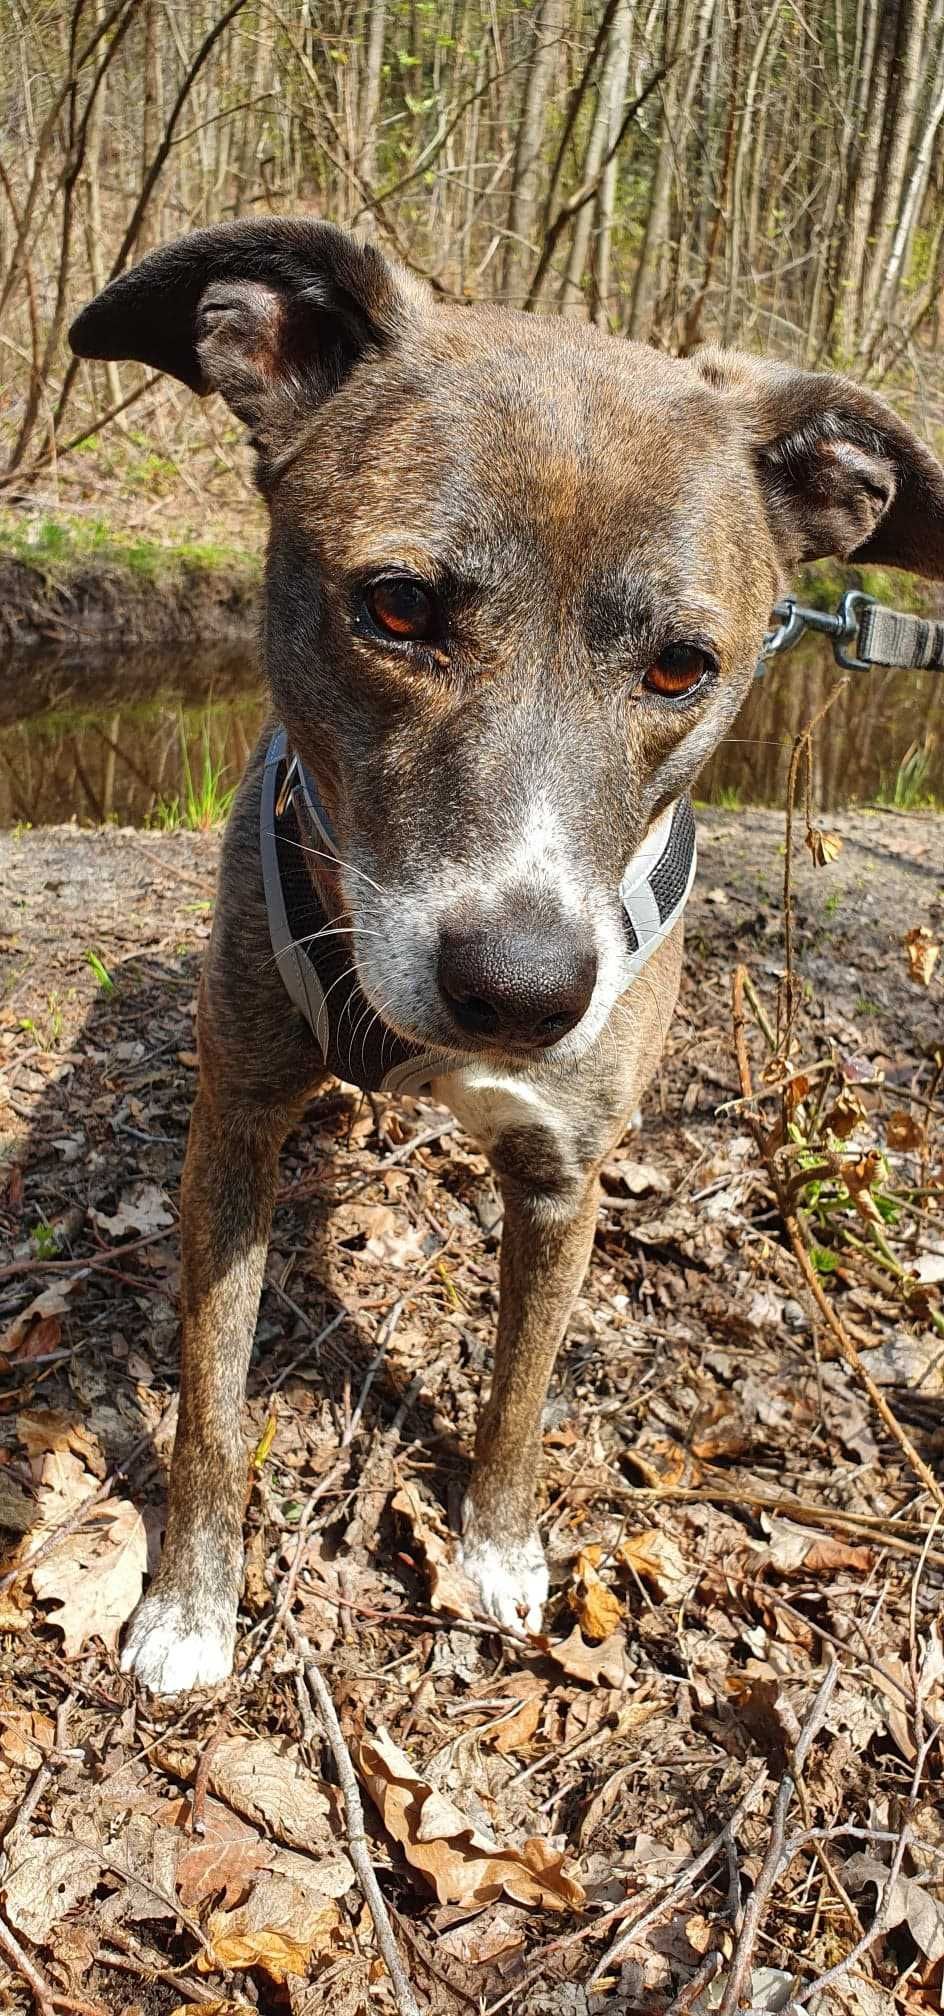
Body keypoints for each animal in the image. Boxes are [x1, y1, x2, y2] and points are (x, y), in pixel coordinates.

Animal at [73, 212, 944, 1693]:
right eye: (398, 607)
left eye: (680, 667)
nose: (523, 996)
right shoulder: (234, 1128)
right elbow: (210, 1401)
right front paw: (189, 1607)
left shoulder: (558, 1174)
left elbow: (521, 1388)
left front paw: (493, 1549)